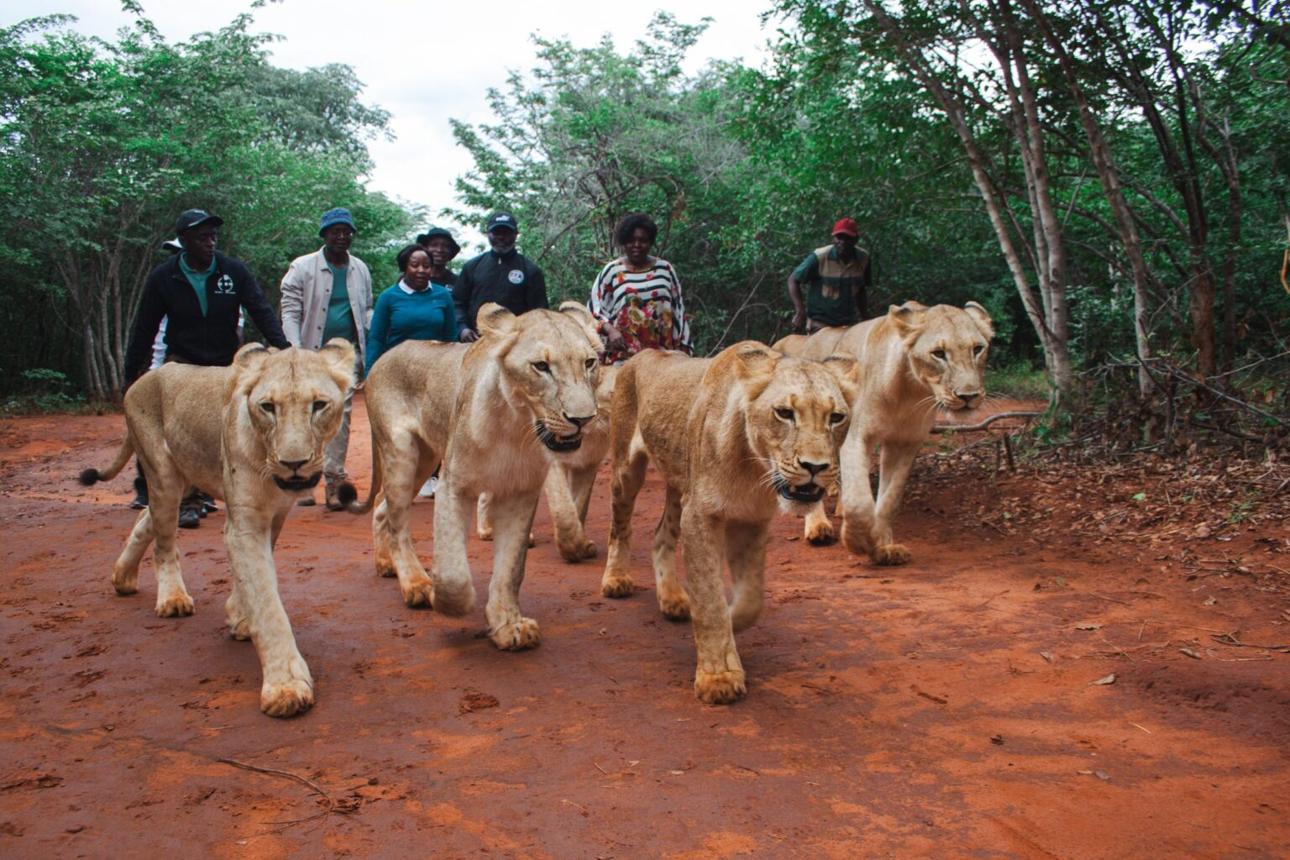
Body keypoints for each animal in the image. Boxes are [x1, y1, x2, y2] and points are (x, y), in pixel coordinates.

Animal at [78, 341, 357, 717]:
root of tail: (143, 379)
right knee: (163, 542)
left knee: (144, 520)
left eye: (318, 405)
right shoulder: (245, 521)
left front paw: (239, 617)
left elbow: (253, 578)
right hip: (163, 476)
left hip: (182, 477)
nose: (294, 464)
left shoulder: (275, 514)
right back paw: (172, 598)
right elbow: (266, 602)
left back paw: (122, 577)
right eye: (268, 407)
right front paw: (285, 686)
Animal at [349, 302, 602, 650]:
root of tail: (384, 356)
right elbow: (453, 571)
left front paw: (509, 625)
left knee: (381, 508)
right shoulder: (452, 485)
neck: (514, 428)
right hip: (402, 454)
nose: (583, 419)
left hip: (425, 460)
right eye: (541, 366)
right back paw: (415, 584)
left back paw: (385, 564)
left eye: (589, 363)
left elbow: (510, 569)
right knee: (398, 523)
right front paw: (446, 601)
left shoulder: (520, 493)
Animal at [599, 342, 859, 704]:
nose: (815, 467)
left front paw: (728, 625)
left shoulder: (751, 521)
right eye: (784, 413)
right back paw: (616, 579)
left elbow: (750, 599)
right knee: (620, 527)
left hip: (680, 484)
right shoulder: (700, 516)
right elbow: (710, 600)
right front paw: (718, 677)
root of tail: (643, 353)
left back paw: (673, 598)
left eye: (836, 417)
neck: (754, 469)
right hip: (627, 470)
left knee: (661, 535)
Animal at [778, 301, 994, 564]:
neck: (910, 392)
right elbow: (860, 501)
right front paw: (857, 540)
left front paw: (882, 545)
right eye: (939, 353)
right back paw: (818, 526)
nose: (969, 396)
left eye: (978, 349)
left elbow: (890, 498)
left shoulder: (905, 443)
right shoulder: (856, 438)